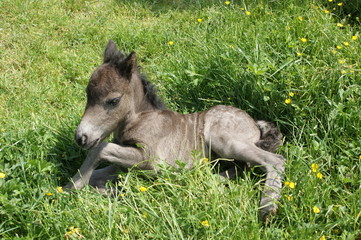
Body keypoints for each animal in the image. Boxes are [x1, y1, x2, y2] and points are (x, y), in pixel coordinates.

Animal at [64, 40, 284, 222]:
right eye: (88, 95)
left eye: (113, 100)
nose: (81, 137)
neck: (141, 118)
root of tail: (255, 123)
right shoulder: (123, 165)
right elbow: (97, 172)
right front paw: (98, 188)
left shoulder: (149, 160)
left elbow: (100, 149)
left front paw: (71, 188)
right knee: (241, 167)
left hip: (223, 141)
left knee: (275, 160)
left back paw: (267, 208)